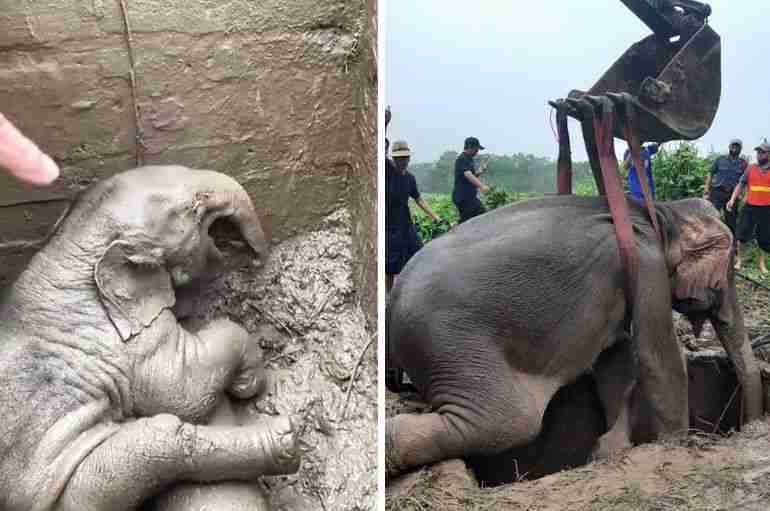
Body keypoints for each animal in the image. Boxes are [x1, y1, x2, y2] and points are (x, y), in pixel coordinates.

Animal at [0, 166, 300, 510]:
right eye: (196, 204)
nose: (258, 260)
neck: (67, 250)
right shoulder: (124, 341)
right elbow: (183, 387)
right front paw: (247, 384)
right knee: (162, 440)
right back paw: (286, 437)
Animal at [386, 195, 763, 477]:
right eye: (728, 274)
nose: (748, 425)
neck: (660, 212)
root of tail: (393, 297)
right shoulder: (646, 264)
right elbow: (657, 356)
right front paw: (677, 446)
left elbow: (618, 359)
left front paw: (610, 449)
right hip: (448, 339)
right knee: (508, 420)